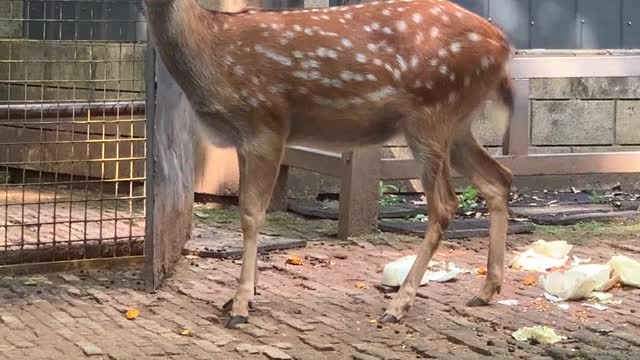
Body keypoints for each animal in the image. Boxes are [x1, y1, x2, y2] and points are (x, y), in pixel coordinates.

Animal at [145, 0, 516, 328]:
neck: (212, 47)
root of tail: (503, 43)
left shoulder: (266, 123)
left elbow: (251, 214)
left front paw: (240, 305)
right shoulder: (242, 139)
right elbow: (246, 213)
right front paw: (242, 296)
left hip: (433, 113)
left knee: (445, 205)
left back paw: (398, 305)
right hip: (457, 123)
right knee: (498, 178)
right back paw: (485, 291)